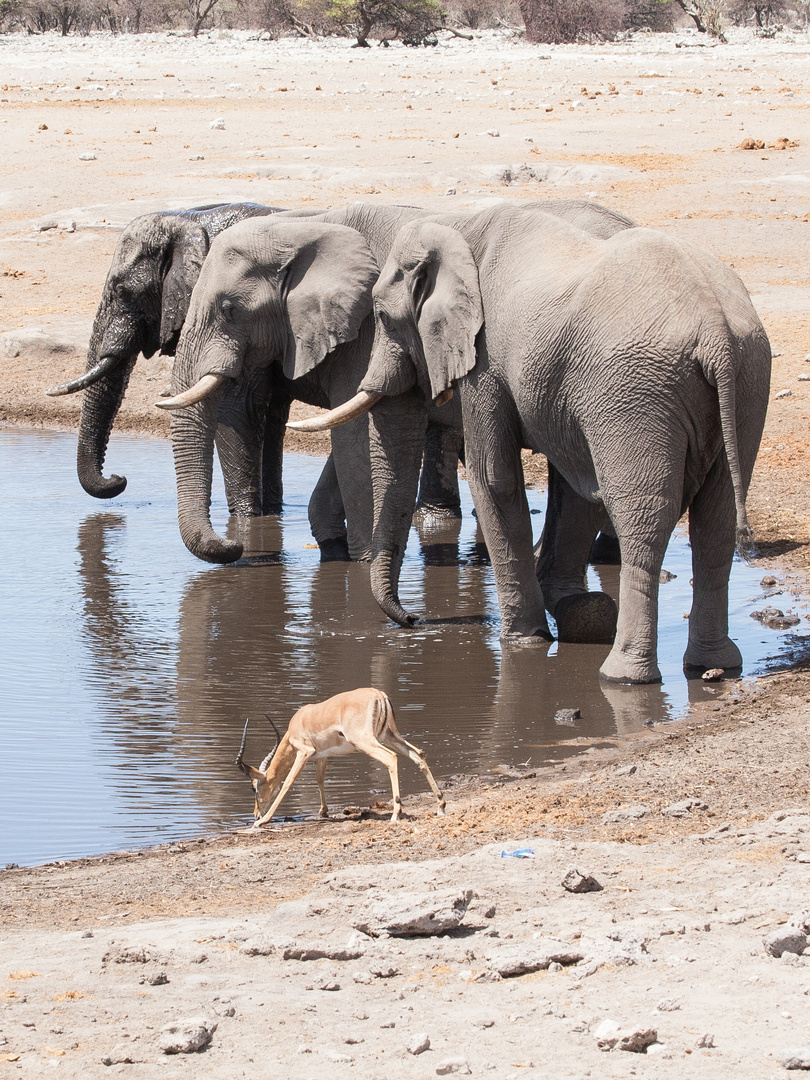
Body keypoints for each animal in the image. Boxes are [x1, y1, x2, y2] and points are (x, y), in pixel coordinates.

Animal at [311, 203, 773, 682]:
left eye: (382, 317)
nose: (413, 620)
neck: (458, 225)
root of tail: (716, 331)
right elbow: (573, 488)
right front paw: (573, 614)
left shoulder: (485, 359)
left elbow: (495, 480)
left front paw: (523, 640)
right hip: (747, 379)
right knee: (716, 522)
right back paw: (713, 665)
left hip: (641, 394)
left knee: (645, 520)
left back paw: (624, 675)